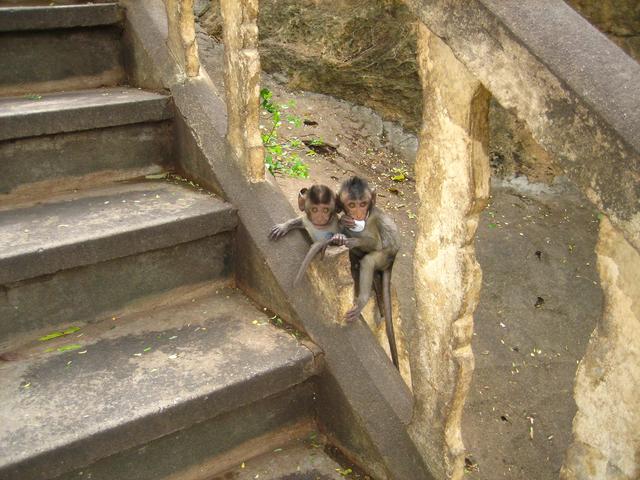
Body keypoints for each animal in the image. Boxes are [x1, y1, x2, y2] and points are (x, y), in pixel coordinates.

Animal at [332, 176, 400, 369]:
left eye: (363, 204)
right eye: (352, 205)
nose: (358, 215)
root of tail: (392, 260)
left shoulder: (372, 221)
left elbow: (374, 242)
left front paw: (351, 238)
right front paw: (342, 225)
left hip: (384, 256)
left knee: (370, 259)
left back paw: (362, 298)